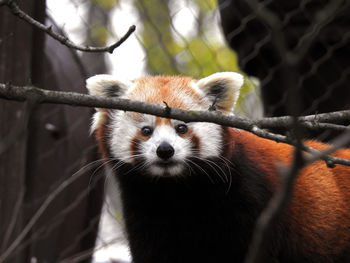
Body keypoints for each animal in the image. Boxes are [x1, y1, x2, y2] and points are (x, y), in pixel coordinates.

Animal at [86, 72, 350, 263]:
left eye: (182, 128)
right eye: (146, 131)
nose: (165, 150)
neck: (176, 192)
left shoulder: (254, 199)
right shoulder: (145, 211)